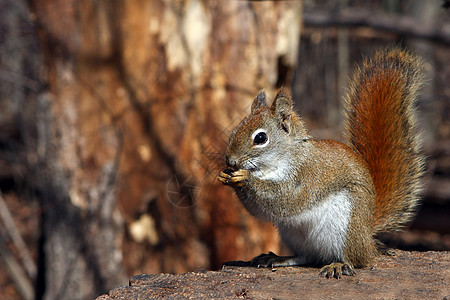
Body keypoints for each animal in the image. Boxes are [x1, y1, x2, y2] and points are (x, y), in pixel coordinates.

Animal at [218, 47, 426, 278]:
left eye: (261, 138)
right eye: (233, 131)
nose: (231, 160)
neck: (276, 163)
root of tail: (367, 236)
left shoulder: (306, 177)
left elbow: (282, 199)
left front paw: (245, 178)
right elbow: (259, 210)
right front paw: (226, 175)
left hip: (346, 228)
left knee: (358, 260)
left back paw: (340, 264)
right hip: (294, 235)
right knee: (307, 257)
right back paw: (278, 258)